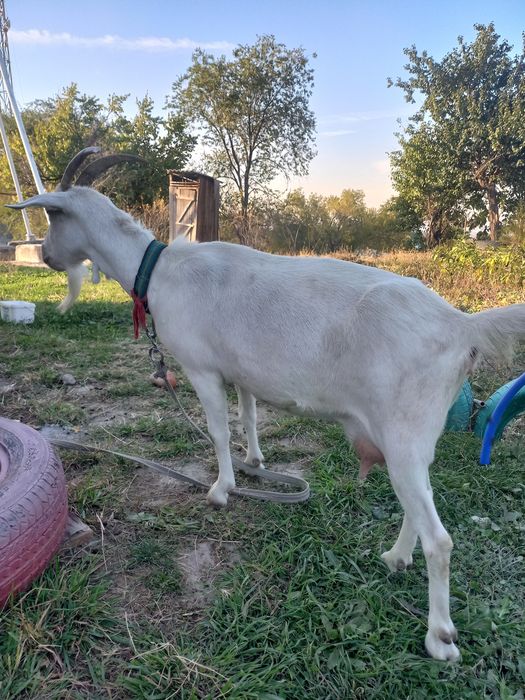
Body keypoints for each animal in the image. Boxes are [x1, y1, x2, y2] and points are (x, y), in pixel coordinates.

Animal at [8, 149, 525, 662]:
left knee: (439, 538)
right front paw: (256, 463)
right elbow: (249, 417)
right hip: (413, 439)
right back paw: (396, 558)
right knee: (418, 505)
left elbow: (218, 430)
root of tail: (460, 325)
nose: (48, 256)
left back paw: (440, 636)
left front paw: (222, 489)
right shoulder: (242, 373)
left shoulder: (201, 368)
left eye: (53, 215)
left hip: (403, 432)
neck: (157, 268)